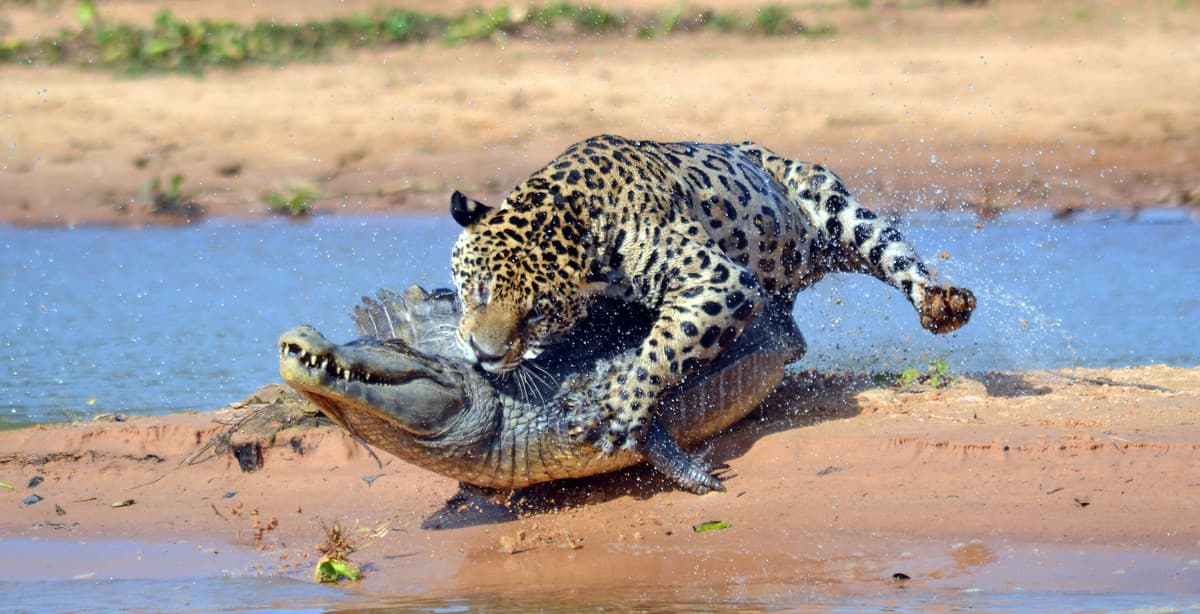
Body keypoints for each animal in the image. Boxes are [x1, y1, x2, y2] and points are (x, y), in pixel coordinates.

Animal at [449, 134, 975, 471]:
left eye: (537, 312)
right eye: (481, 288)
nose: (483, 354)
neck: (574, 207)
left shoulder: (720, 279)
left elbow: (662, 348)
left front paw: (618, 413)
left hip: (835, 209)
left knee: (893, 253)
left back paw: (944, 303)